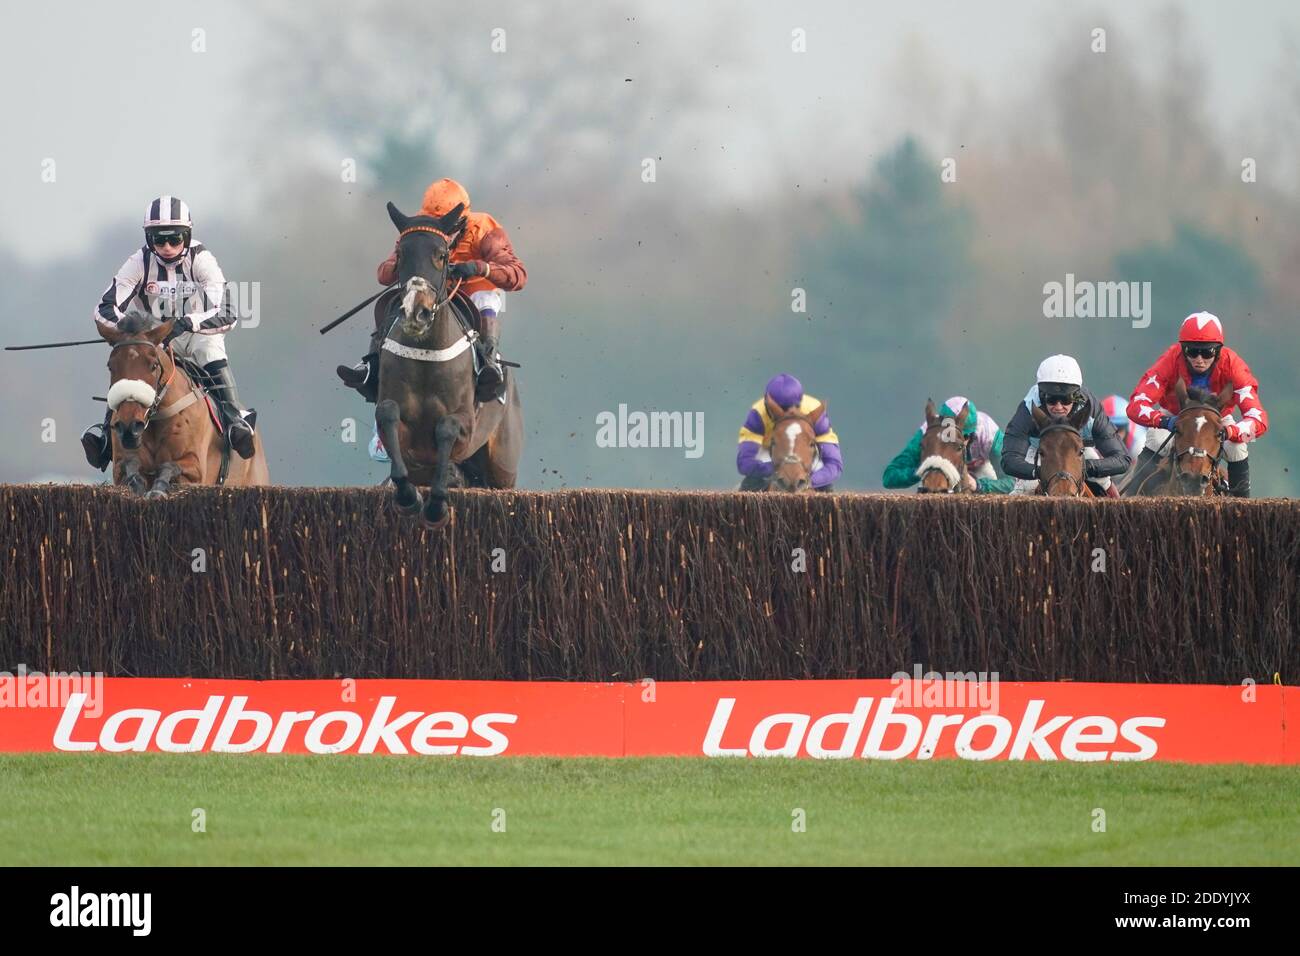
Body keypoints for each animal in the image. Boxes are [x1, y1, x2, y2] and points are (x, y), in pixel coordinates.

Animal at [96, 316, 271, 494]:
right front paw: (138, 483)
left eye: (153, 366)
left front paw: (158, 489)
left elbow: (169, 466)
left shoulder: (197, 469)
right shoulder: (120, 465)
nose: (129, 427)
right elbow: (129, 466)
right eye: (111, 366)